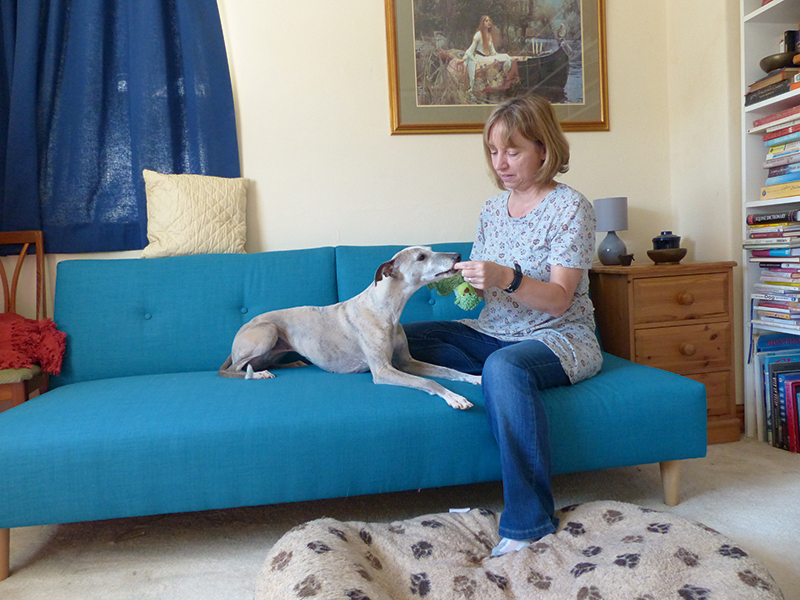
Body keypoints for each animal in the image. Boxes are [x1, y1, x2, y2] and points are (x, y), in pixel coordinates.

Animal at [218, 246, 481, 409]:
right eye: (421, 257)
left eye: (430, 250)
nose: (458, 255)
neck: (385, 308)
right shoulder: (382, 370)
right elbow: (429, 382)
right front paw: (454, 397)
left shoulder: (406, 362)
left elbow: (447, 370)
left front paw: (473, 378)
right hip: (267, 331)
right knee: (235, 370)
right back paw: (258, 374)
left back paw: (293, 363)